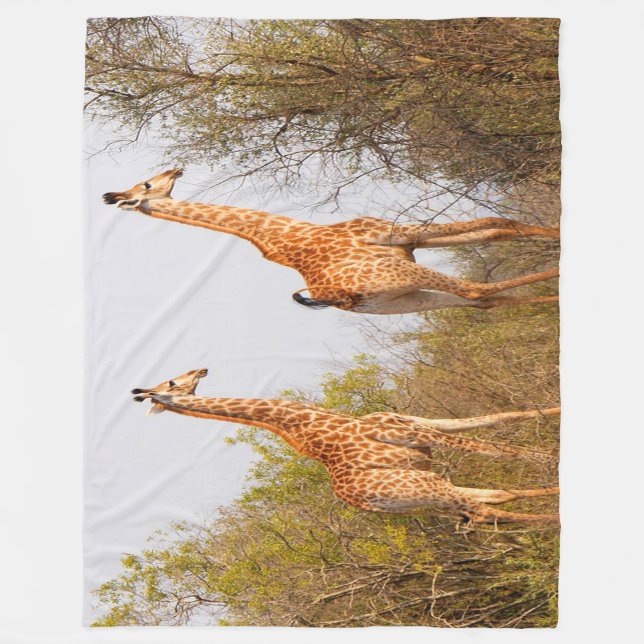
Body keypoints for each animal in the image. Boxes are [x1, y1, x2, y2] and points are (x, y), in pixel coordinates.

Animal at [102, 169, 560, 314]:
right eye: (149, 183)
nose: (176, 168)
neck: (294, 233)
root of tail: (336, 296)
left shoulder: (406, 243)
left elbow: (497, 225)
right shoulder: (400, 238)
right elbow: (497, 223)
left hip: (405, 300)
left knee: (484, 301)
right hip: (407, 282)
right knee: (478, 290)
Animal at [131, 369, 559, 526]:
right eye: (172, 383)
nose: (201, 369)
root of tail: (365, 505)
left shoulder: (418, 426)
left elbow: (504, 417)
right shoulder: (416, 436)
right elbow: (499, 449)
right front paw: (552, 457)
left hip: (431, 489)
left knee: (495, 499)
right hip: (428, 489)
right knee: (488, 508)